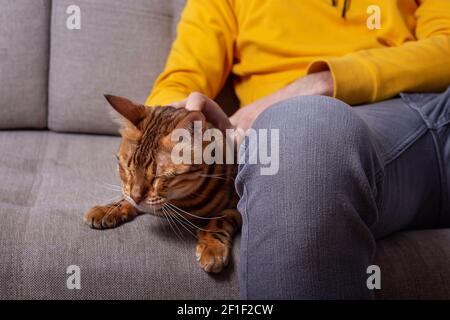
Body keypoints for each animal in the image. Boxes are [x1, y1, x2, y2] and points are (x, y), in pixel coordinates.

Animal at [82, 95, 241, 272]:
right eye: (128, 170)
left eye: (158, 177)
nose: (136, 197)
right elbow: (126, 197)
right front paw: (108, 209)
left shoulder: (236, 206)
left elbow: (219, 220)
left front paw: (213, 247)